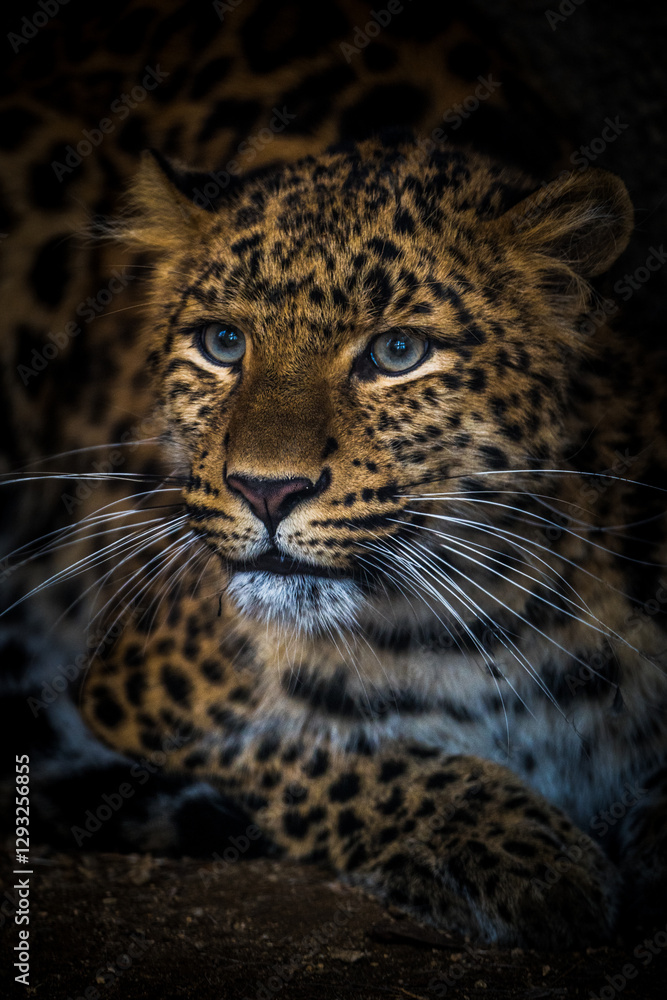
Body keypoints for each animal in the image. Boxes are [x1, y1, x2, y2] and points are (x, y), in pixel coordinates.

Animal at [1, 0, 667, 953]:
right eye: (223, 342)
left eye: (398, 353)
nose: (266, 491)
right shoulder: (137, 676)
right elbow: (332, 756)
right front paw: (520, 854)